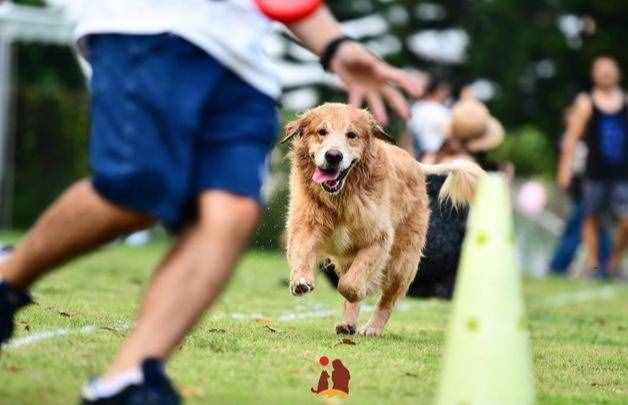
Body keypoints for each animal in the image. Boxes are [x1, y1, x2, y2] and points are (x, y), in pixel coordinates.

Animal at [284, 103, 486, 334]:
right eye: (321, 131)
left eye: (352, 135)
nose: (333, 156)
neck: (342, 199)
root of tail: (415, 163)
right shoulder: (305, 226)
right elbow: (302, 253)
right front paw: (300, 280)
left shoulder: (379, 240)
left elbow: (350, 285)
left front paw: (359, 290)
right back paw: (348, 324)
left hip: (402, 262)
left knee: (387, 300)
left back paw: (372, 328)